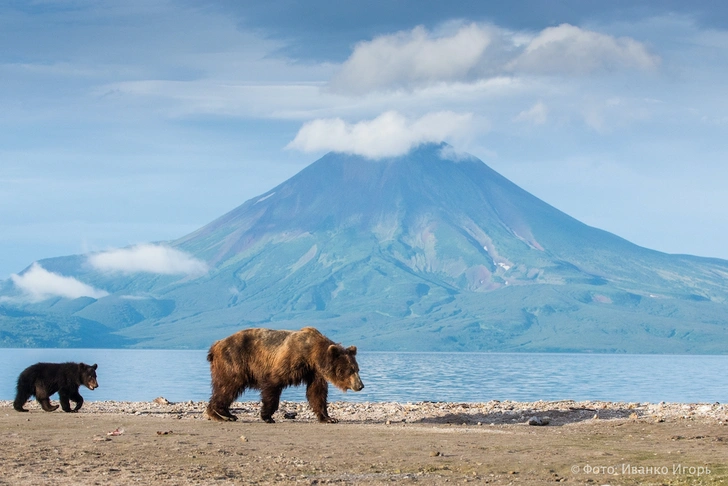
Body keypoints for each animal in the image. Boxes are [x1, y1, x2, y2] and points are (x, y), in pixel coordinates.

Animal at [205, 326, 364, 426]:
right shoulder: (291, 360)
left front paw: (329, 418)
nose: (360, 386)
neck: (312, 355)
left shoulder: (313, 372)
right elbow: (273, 383)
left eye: (357, 369)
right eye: (350, 370)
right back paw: (221, 413)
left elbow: (317, 393)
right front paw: (267, 416)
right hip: (234, 360)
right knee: (229, 385)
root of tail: (216, 345)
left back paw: (223, 414)